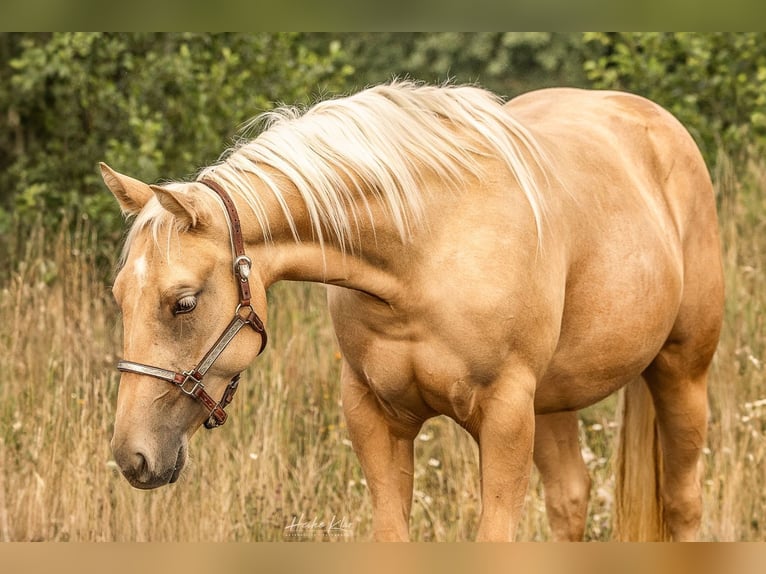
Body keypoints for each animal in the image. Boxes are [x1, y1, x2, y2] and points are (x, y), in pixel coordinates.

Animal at [103, 81, 724, 541]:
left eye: (183, 302)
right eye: (120, 295)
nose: (132, 457)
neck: (420, 252)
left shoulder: (505, 418)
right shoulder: (372, 416)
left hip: (681, 374)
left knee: (685, 502)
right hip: (553, 402)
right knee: (571, 501)